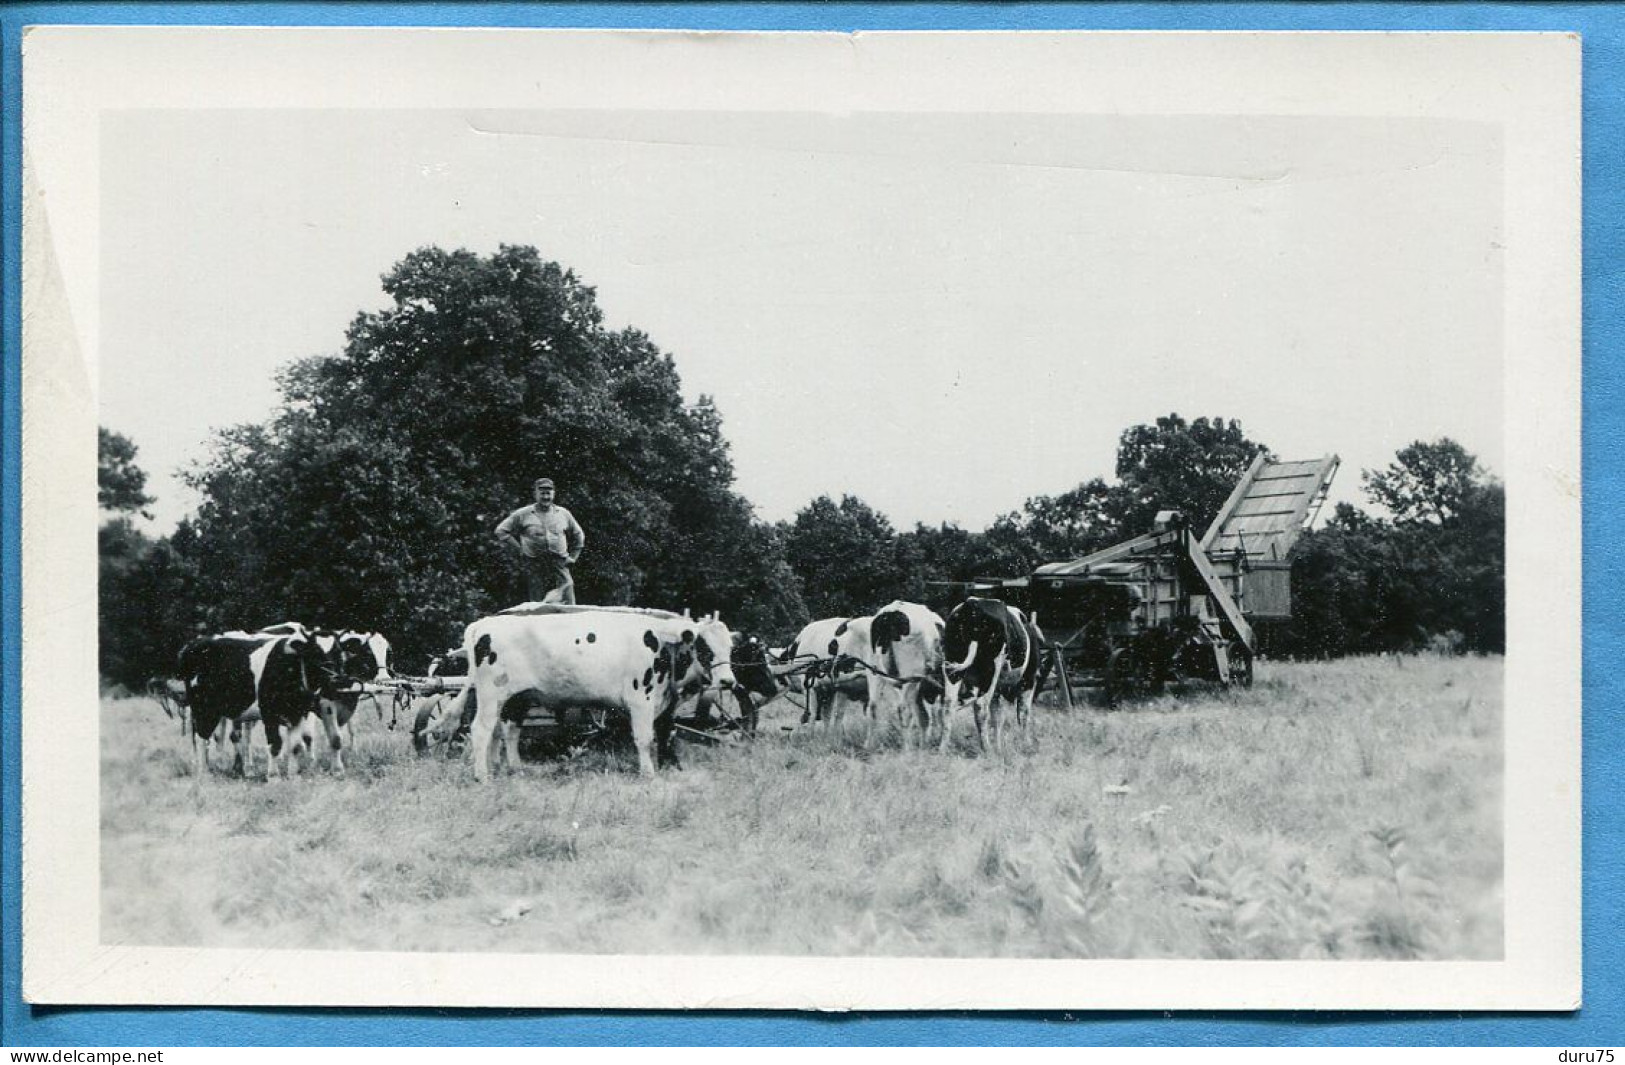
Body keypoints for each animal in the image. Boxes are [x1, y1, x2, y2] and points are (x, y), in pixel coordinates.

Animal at [458, 611, 737, 780]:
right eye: (704, 647)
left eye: (730, 647)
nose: (728, 681)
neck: (662, 645)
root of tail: (483, 623)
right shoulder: (641, 700)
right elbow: (644, 738)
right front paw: (648, 774)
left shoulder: (663, 703)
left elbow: (666, 733)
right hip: (491, 694)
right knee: (481, 729)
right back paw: (482, 776)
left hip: (517, 698)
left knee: (505, 730)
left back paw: (509, 768)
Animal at [942, 598, 1040, 757]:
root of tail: (972, 602)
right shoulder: (1028, 680)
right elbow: (1023, 712)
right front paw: (1026, 745)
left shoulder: (998, 689)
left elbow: (997, 716)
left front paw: (999, 747)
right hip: (992, 669)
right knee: (981, 706)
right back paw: (987, 749)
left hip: (952, 665)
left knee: (948, 704)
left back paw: (942, 748)